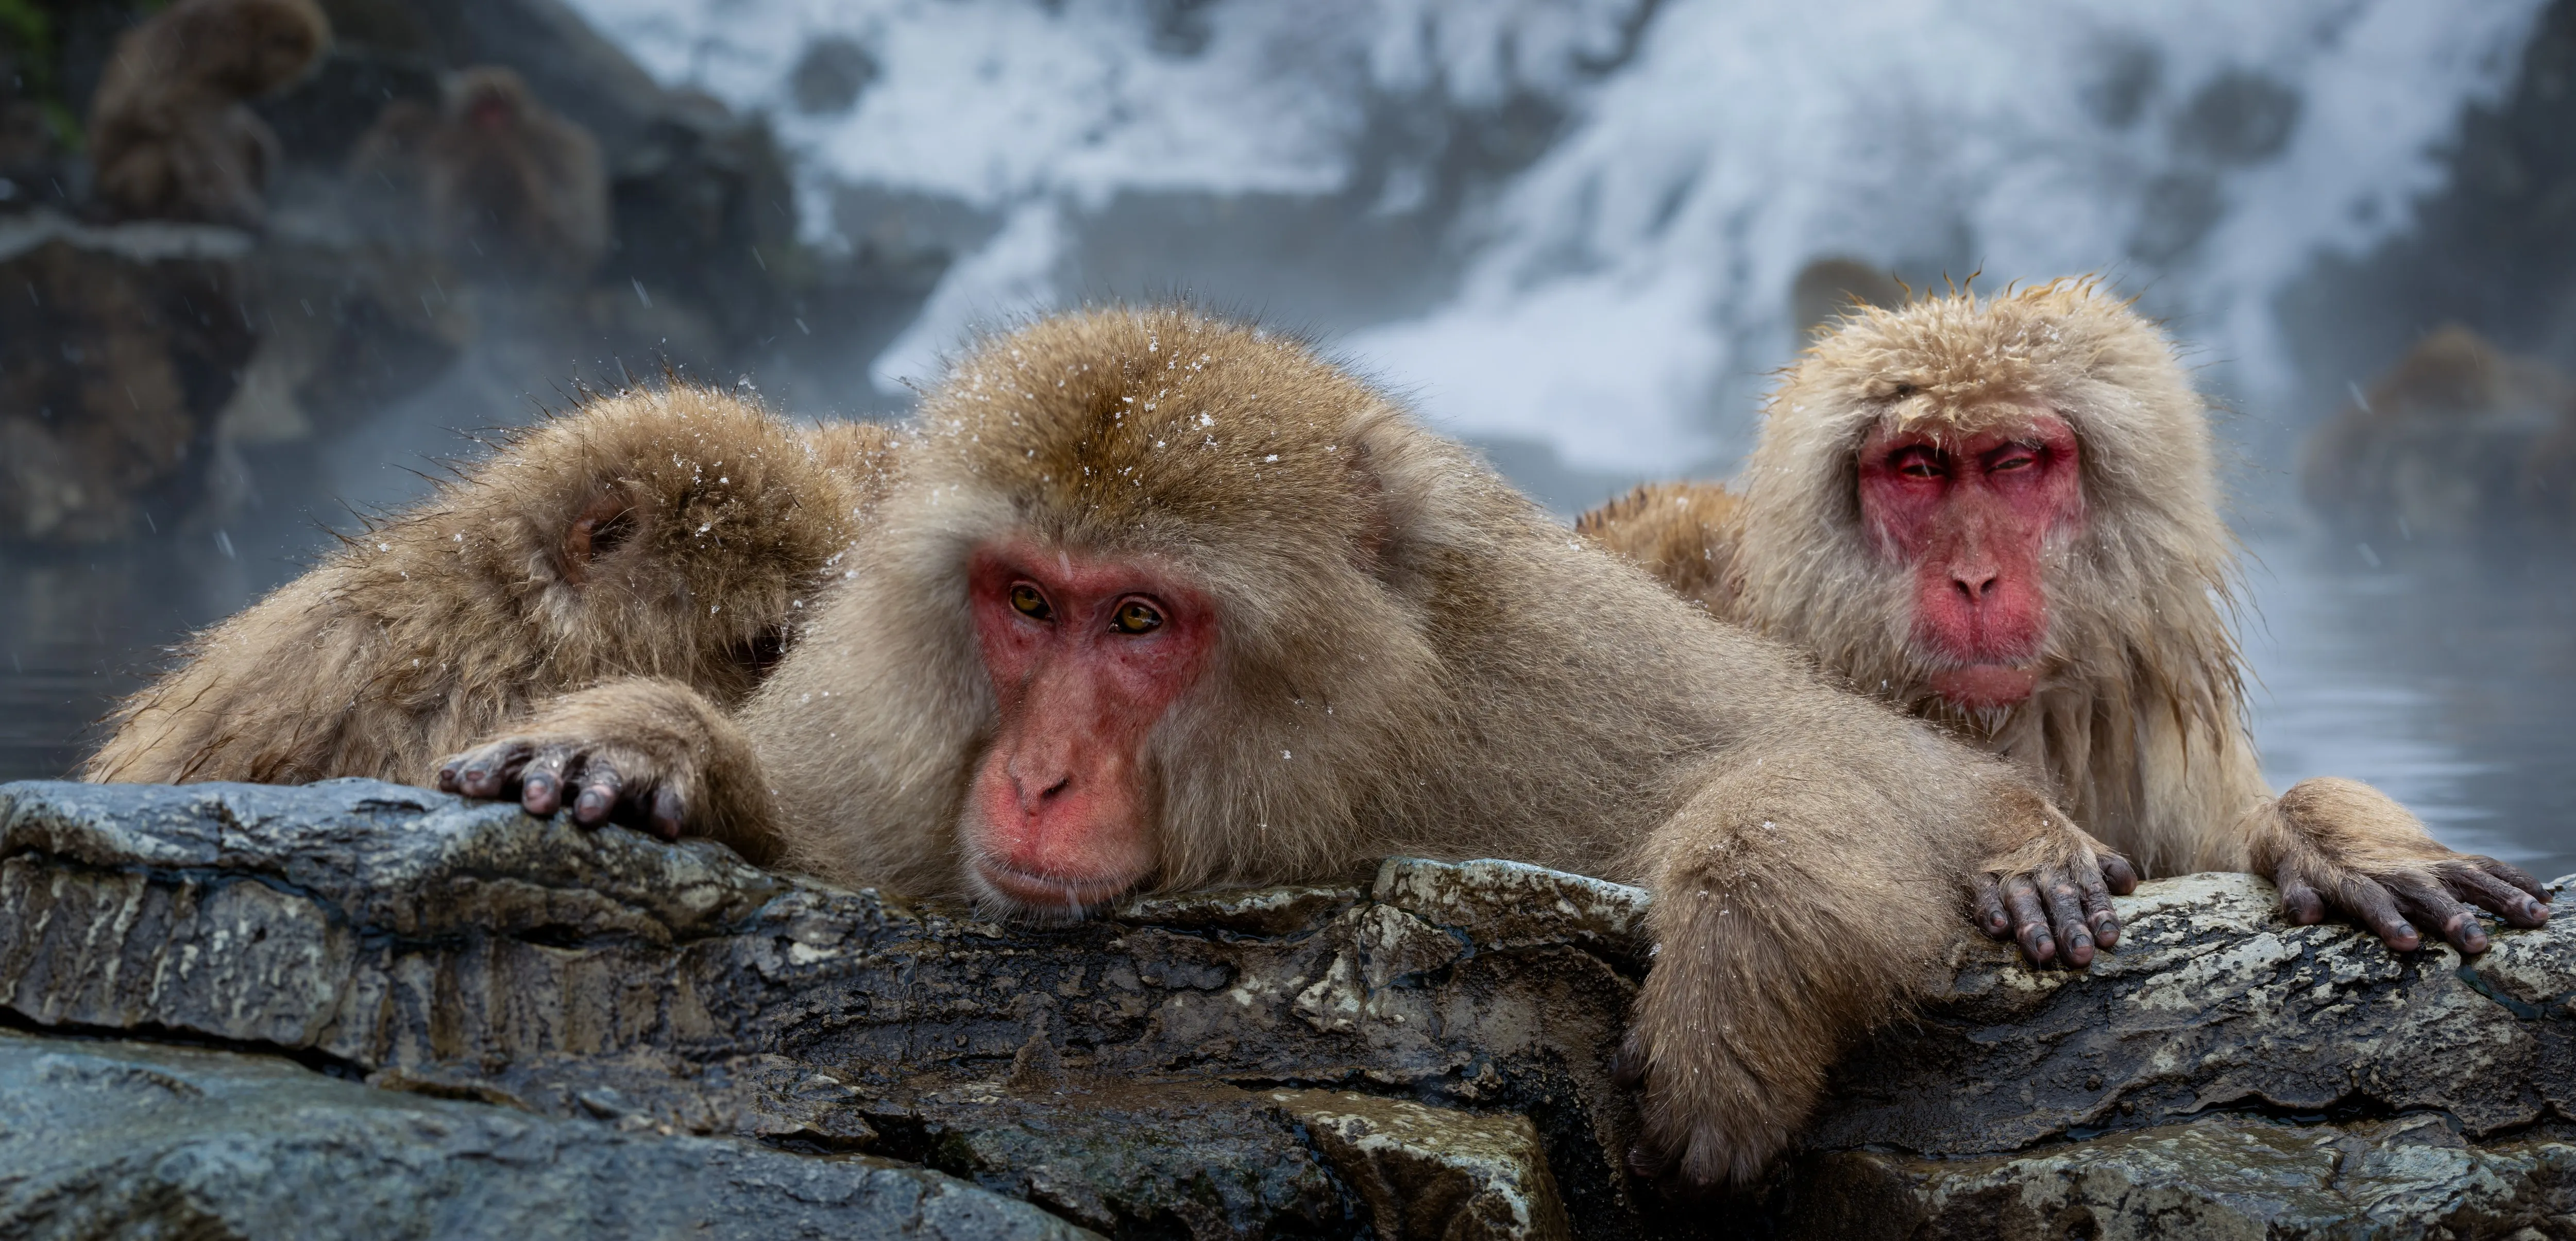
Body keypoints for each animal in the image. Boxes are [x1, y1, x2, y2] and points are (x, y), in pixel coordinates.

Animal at [86, 0, 329, 228]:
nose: (311, 73)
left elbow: (233, 123)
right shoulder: (203, 52)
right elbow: (187, 119)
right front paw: (238, 209)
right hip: (116, 181)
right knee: (154, 155)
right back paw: (153, 211)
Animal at [417, 305, 2137, 1189]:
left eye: (1136, 621)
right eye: (1026, 602)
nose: (1035, 778)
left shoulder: (1531, 674)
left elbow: (1858, 760)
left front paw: (1746, 972)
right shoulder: (883, 745)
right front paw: (651, 747)